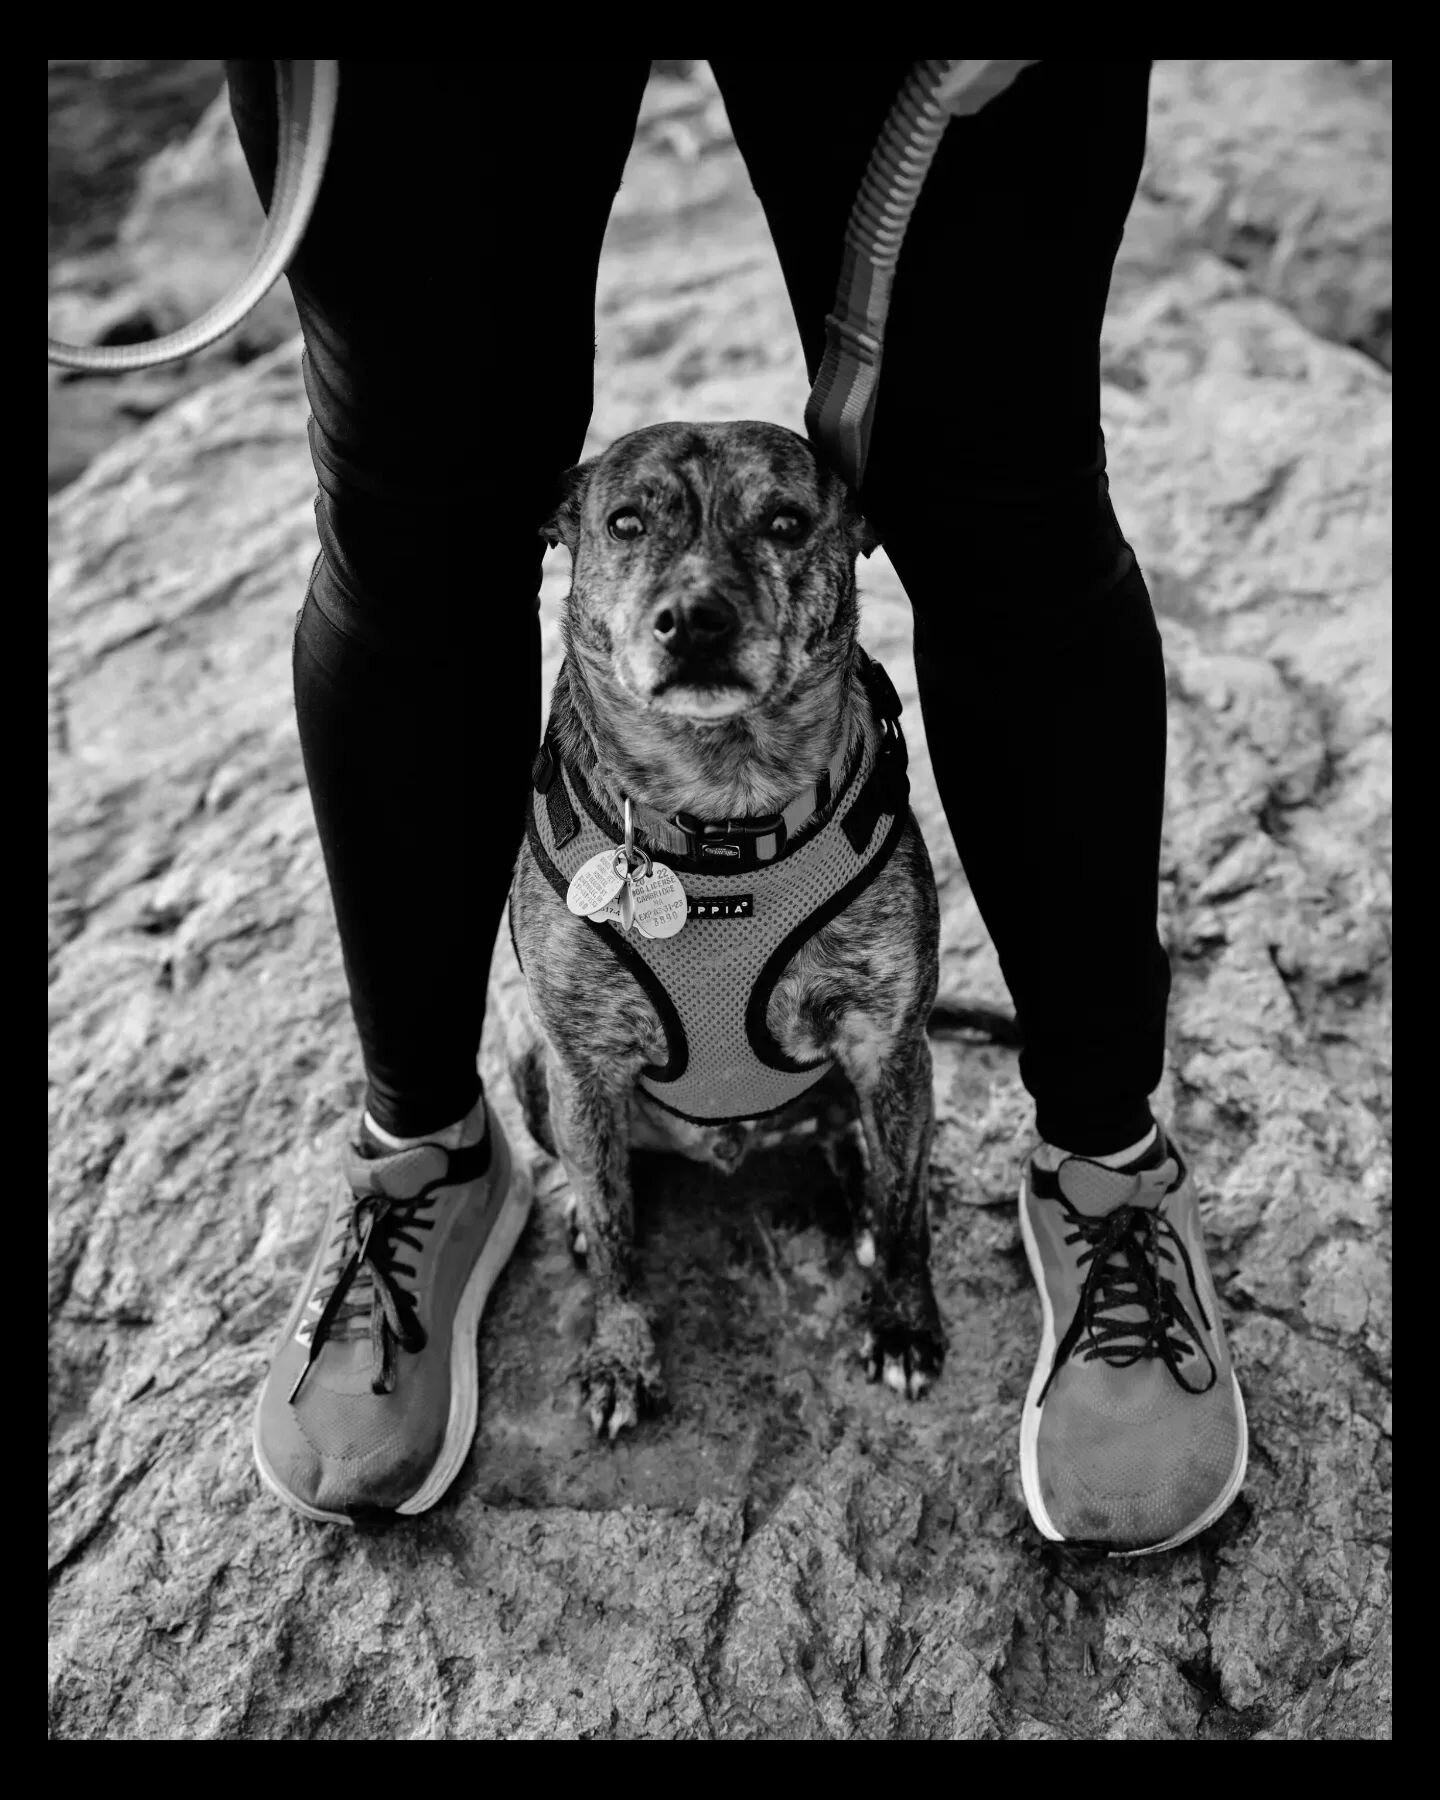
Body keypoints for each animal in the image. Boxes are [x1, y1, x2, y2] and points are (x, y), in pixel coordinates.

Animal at [507, 417, 943, 1432]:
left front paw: (903, 1322)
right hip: (528, 1064)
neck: (722, 812)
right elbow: (618, 1236)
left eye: (785, 522)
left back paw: (855, 1187)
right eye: (626, 523)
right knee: (602, 1177)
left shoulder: (890, 1039)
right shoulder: (582, 1065)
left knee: (862, 1148)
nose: (695, 617)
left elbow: (908, 1208)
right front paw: (621, 1354)